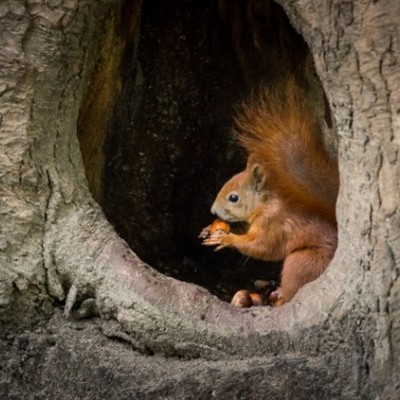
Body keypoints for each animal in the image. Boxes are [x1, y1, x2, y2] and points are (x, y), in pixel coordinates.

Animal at [203, 80, 338, 306]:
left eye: (234, 197)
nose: (213, 211)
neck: (264, 205)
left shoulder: (273, 223)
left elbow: (261, 247)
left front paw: (226, 239)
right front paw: (209, 230)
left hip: (301, 262)